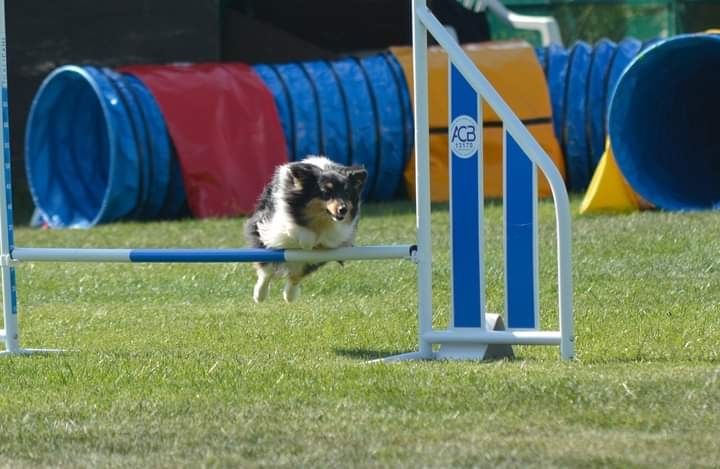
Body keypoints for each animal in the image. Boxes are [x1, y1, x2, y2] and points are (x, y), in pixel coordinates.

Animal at [245, 156, 368, 303]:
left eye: (347, 192)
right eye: (326, 192)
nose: (343, 210)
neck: (319, 221)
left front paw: (289, 295)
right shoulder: (273, 225)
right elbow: (299, 233)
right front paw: (306, 241)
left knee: (296, 273)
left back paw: (289, 296)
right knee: (267, 271)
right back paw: (260, 295)